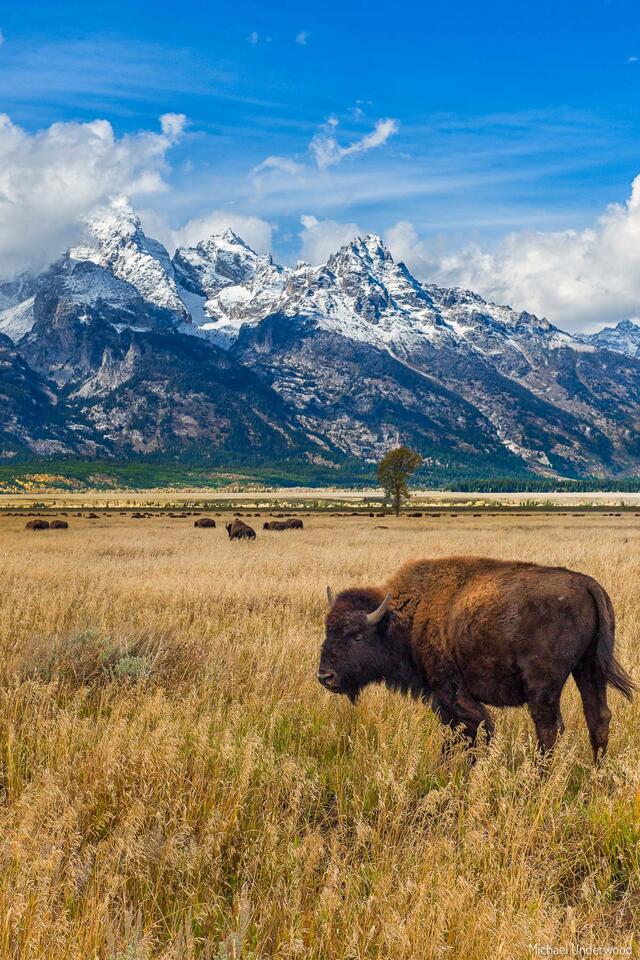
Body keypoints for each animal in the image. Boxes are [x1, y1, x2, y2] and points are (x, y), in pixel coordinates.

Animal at [318, 556, 635, 761]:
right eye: (327, 630)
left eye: (357, 636)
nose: (325, 676)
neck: (405, 616)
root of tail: (588, 584)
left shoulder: (448, 693)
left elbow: (469, 732)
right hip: (589, 669)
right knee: (598, 718)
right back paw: (595, 774)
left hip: (544, 683)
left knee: (549, 728)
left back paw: (539, 780)